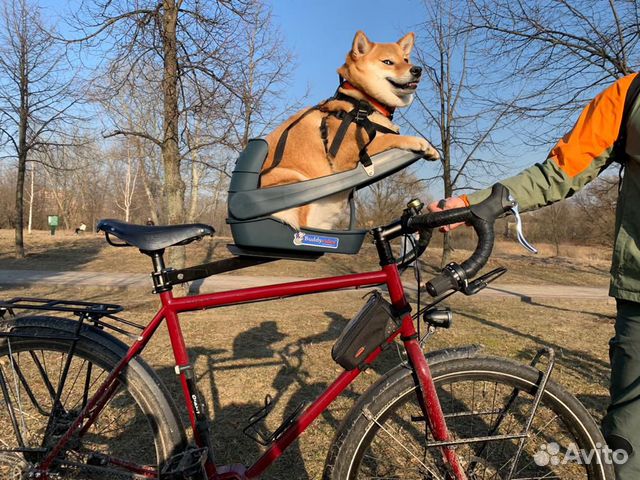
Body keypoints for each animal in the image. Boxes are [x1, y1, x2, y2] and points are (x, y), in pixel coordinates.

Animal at [258, 31, 438, 230]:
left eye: (406, 59)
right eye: (388, 62)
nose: (417, 70)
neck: (363, 102)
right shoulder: (347, 153)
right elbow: (390, 138)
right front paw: (421, 142)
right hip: (293, 183)